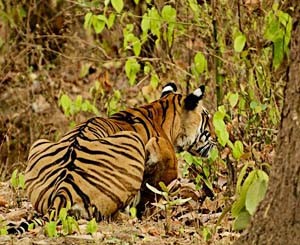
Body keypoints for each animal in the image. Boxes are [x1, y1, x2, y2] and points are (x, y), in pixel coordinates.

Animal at [7, 82, 216, 234]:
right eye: (207, 117)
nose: (217, 137)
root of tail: (63, 191)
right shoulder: (162, 151)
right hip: (131, 141)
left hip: (39, 143)